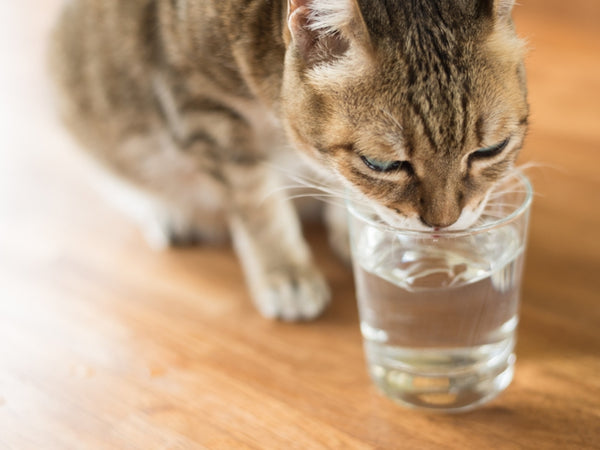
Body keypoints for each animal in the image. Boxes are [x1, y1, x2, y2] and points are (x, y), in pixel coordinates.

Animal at [50, 1, 528, 322]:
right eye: (380, 164)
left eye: (490, 150)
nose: (444, 225)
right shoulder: (202, 109)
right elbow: (260, 208)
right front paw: (286, 273)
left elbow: (334, 183)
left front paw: (351, 230)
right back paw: (166, 212)